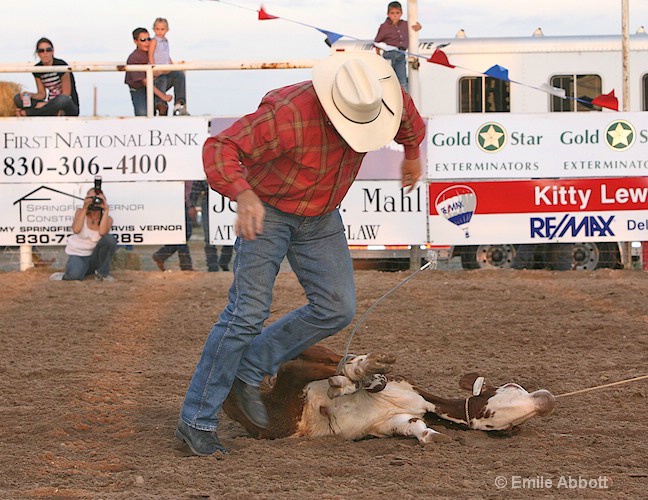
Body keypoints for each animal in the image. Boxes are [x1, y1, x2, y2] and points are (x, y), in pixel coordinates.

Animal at [225, 344, 556, 446]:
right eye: (512, 387)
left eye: (511, 426)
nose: (547, 402)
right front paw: (359, 381)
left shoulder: (394, 420)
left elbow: (415, 426)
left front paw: (431, 435)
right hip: (296, 374)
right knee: (330, 361)